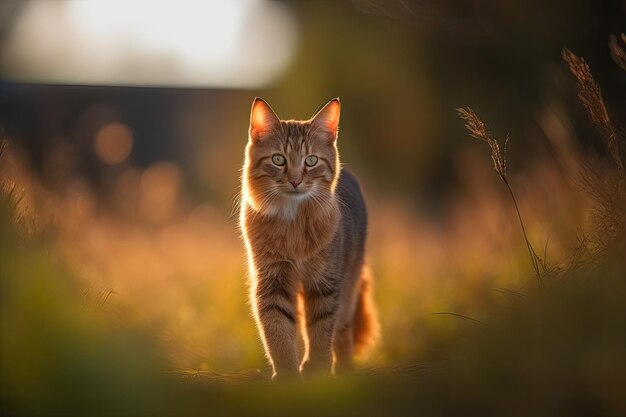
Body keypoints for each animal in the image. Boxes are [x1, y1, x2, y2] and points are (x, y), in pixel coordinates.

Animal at [238, 97, 376, 380]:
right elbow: (277, 329)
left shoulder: (325, 283)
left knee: (342, 332)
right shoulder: (273, 279)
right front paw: (288, 374)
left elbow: (321, 331)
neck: (293, 224)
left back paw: (344, 371)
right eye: (278, 159)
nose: (295, 181)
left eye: (311, 161)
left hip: (349, 286)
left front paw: (318, 370)